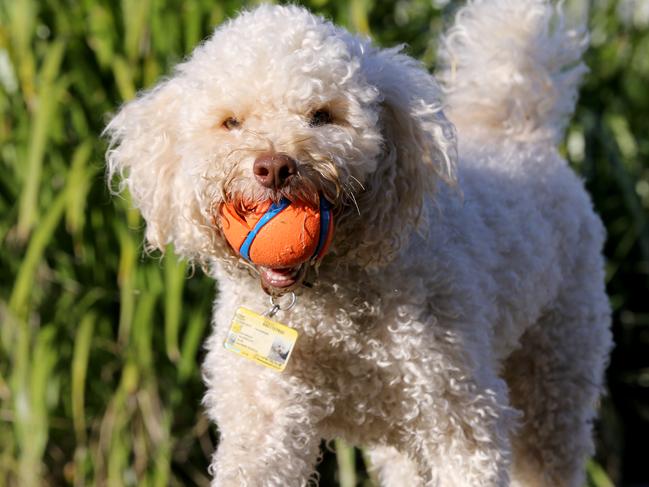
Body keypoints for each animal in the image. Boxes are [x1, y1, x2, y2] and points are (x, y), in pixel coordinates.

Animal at [104, 0, 612, 487]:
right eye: (231, 122)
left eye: (322, 116)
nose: (274, 167)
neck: (327, 304)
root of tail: (520, 131)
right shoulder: (265, 420)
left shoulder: (462, 416)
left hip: (557, 370)